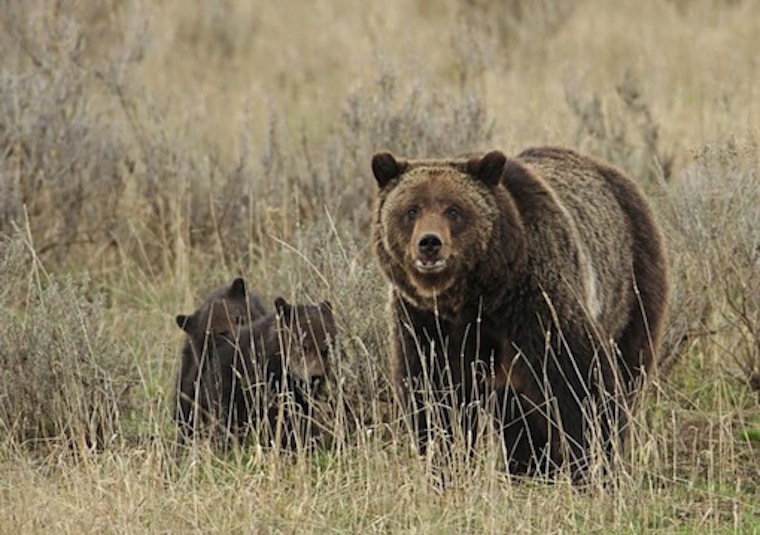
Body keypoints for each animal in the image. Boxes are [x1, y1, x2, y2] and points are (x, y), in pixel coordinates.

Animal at [371, 146, 669, 482]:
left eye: (454, 210)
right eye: (411, 210)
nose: (429, 243)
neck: (475, 298)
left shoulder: (537, 303)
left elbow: (582, 383)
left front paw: (596, 466)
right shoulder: (424, 321)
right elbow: (433, 392)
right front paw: (445, 464)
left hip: (632, 287)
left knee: (630, 367)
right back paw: (529, 466)